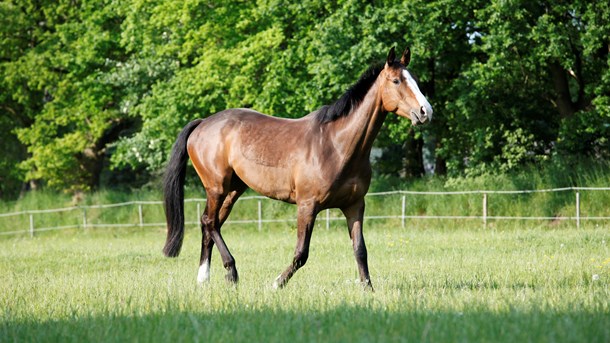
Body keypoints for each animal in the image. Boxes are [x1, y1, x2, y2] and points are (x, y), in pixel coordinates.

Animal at [162, 45, 432, 290]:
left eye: (416, 81)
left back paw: (205, 279)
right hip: (216, 187)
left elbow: (360, 250)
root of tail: (202, 124)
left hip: (233, 190)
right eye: (396, 80)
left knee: (212, 224)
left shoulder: (354, 205)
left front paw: (368, 289)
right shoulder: (307, 205)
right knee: (209, 221)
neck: (336, 144)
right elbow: (301, 253)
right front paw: (276, 283)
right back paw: (230, 271)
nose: (425, 111)